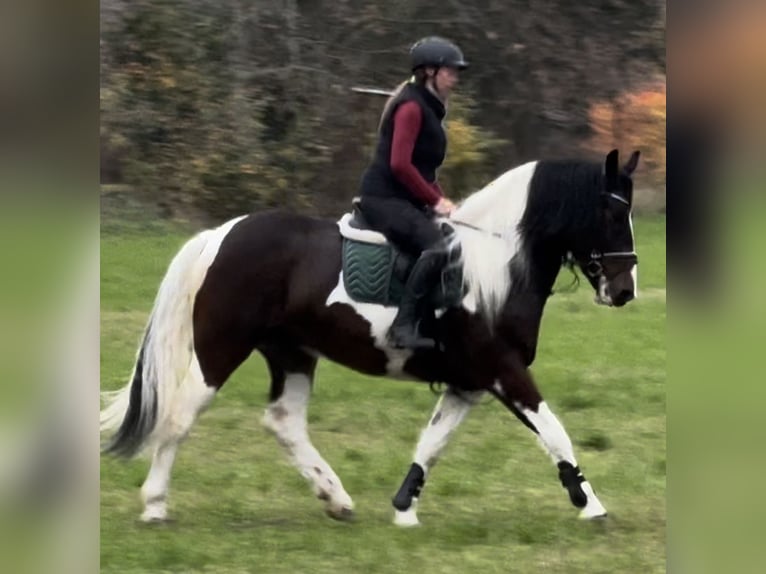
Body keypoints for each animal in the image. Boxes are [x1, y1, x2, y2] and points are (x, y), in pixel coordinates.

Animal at [100, 147, 640, 528]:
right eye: (613, 215)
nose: (625, 290)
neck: (497, 264)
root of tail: (221, 235)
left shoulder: (467, 383)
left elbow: (433, 442)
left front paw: (404, 508)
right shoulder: (503, 370)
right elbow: (553, 430)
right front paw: (590, 504)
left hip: (293, 353)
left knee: (284, 422)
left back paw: (336, 499)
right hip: (221, 348)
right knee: (180, 415)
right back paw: (155, 506)